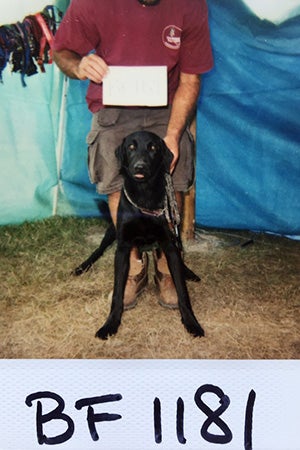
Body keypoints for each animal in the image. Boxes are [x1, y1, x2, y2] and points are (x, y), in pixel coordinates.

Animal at [73, 132, 204, 340]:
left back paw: (188, 272)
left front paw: (191, 322)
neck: (144, 196)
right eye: (131, 147)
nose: (140, 166)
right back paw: (82, 267)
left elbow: (182, 292)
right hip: (112, 233)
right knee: (98, 250)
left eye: (153, 148)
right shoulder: (123, 248)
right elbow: (118, 292)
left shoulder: (169, 244)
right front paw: (110, 324)